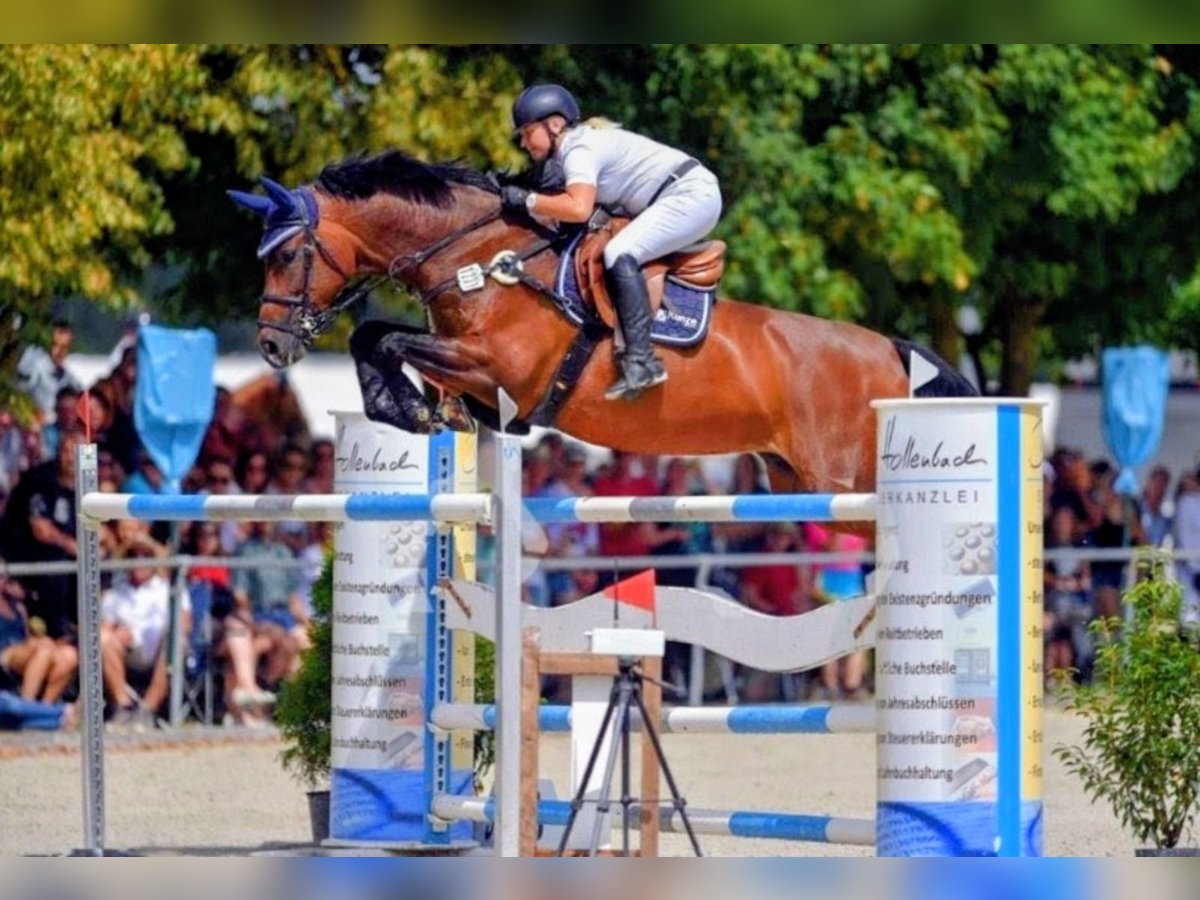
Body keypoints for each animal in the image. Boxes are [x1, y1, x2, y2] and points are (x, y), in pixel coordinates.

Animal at [228, 150, 974, 498]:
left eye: (287, 254)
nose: (270, 343)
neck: (479, 259)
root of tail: (891, 352)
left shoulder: (496, 368)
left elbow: (387, 337)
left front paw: (408, 408)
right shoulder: (475, 377)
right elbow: (375, 338)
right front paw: (412, 410)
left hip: (844, 483)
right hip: (792, 480)